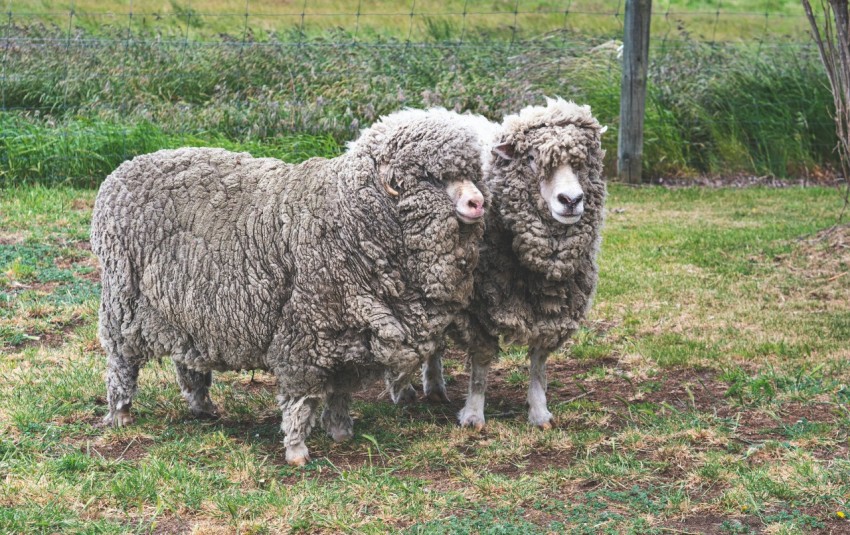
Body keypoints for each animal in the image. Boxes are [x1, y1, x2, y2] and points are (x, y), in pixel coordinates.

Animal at [89, 111, 486, 466]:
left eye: (470, 174)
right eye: (432, 177)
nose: (478, 202)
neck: (346, 215)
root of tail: (123, 171)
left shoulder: (349, 336)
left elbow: (340, 392)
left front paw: (341, 432)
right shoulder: (302, 334)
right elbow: (300, 398)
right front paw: (296, 450)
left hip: (186, 311)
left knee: (188, 364)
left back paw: (203, 408)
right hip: (123, 305)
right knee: (121, 363)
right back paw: (120, 413)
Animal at [414, 97, 608, 432]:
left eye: (582, 162)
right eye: (530, 157)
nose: (571, 200)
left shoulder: (552, 310)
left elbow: (539, 366)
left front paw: (540, 413)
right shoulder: (478, 308)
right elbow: (480, 366)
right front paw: (474, 415)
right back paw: (433, 384)